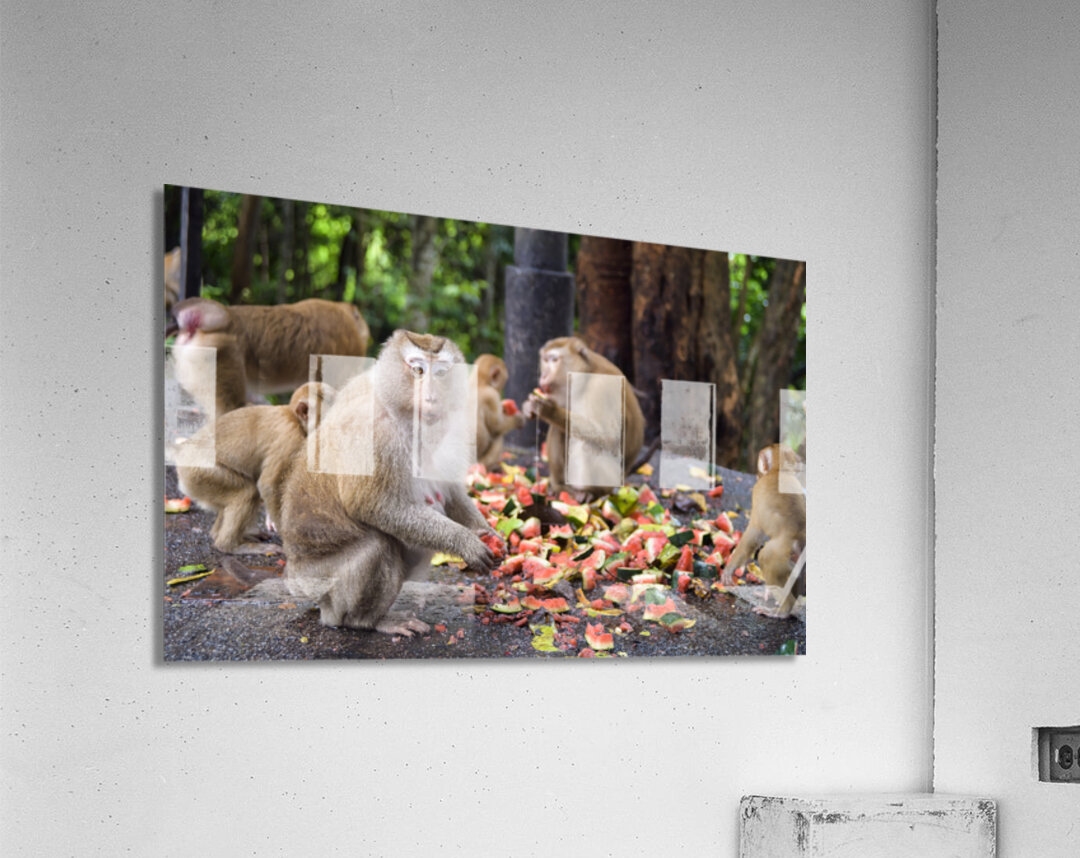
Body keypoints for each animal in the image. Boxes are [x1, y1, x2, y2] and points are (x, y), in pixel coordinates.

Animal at [175, 382, 336, 555]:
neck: (295, 418)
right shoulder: (290, 438)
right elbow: (268, 486)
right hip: (198, 473)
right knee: (247, 492)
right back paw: (230, 546)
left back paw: (224, 535)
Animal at [278, 330, 501, 636]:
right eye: (418, 370)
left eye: (441, 373)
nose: (432, 397)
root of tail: (297, 581)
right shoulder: (374, 433)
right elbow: (375, 506)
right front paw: (465, 541)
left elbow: (448, 488)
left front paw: (483, 530)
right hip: (322, 585)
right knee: (378, 545)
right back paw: (366, 621)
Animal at [522, 336, 644, 497]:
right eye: (545, 360)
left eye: (554, 360)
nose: (543, 375)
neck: (587, 375)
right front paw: (528, 407)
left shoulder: (601, 386)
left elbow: (608, 437)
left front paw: (549, 410)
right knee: (559, 429)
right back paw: (560, 486)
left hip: (612, 480)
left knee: (589, 444)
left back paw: (589, 492)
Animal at [721, 443, 806, 618]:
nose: (757, 475)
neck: (779, 471)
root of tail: (799, 538)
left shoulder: (757, 491)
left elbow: (753, 533)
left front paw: (729, 570)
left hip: (778, 553)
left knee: (765, 556)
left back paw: (782, 611)